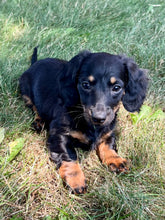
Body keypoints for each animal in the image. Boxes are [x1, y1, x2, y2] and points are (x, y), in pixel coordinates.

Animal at [19, 47, 148, 193]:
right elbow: (69, 155)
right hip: (25, 92)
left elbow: (108, 144)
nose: (98, 117)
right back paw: (39, 122)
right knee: (34, 107)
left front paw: (115, 159)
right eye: (85, 85)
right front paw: (75, 179)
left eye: (116, 88)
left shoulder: (109, 130)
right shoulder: (59, 135)